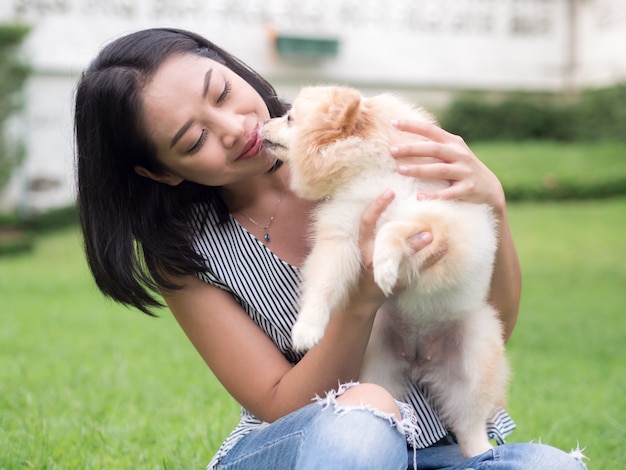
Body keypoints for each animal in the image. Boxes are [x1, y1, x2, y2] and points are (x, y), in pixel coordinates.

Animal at [258, 86, 508, 458]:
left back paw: (481, 454)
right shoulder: (341, 236)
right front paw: (307, 328)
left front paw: (386, 264)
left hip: (473, 362)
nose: (261, 124)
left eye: (289, 118)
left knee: (470, 426)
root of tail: (420, 357)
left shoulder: (439, 226)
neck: (371, 173)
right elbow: (322, 287)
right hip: (377, 366)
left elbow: (394, 227)